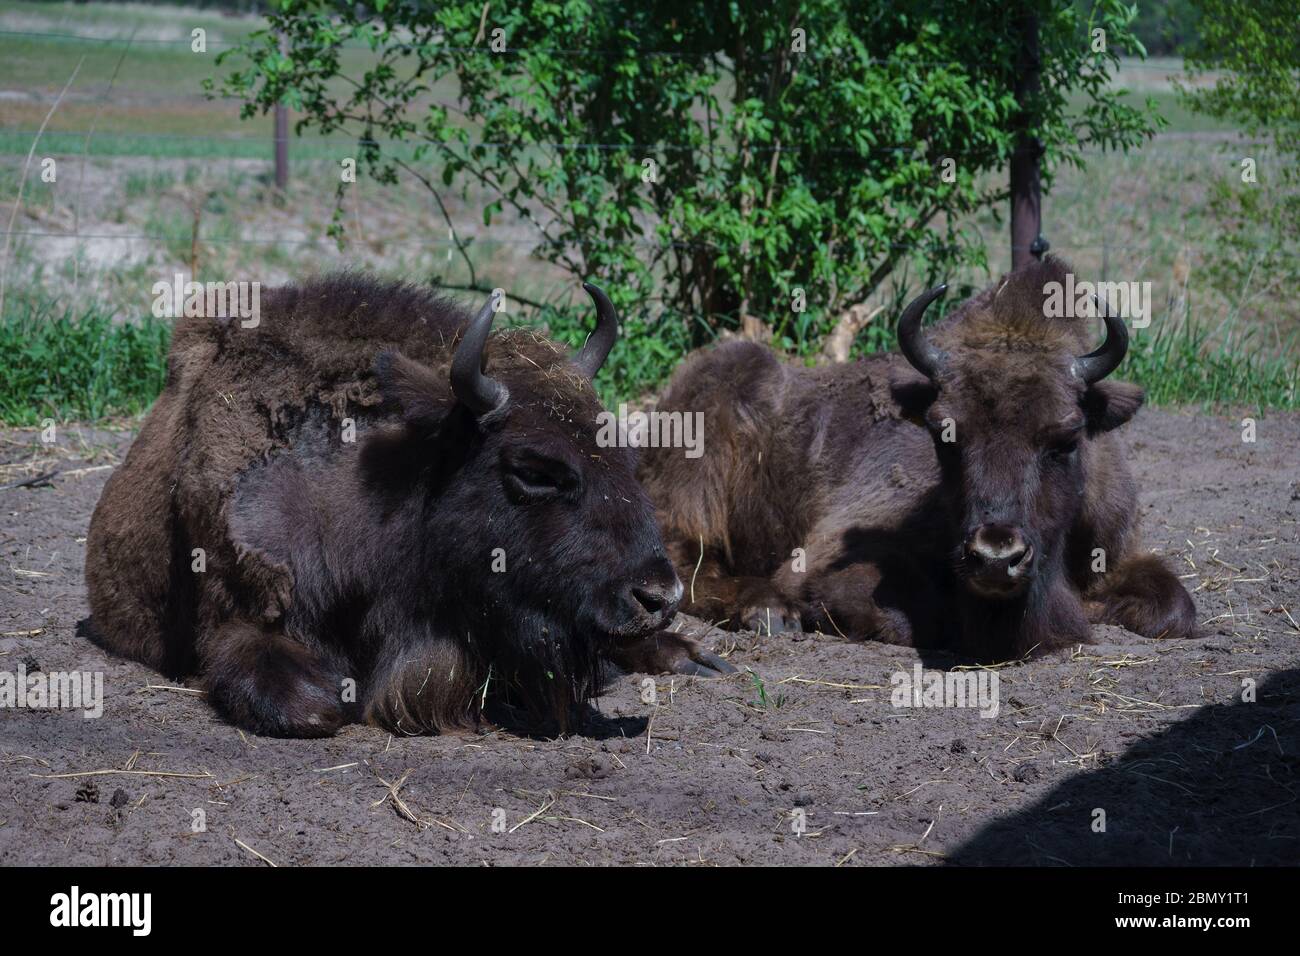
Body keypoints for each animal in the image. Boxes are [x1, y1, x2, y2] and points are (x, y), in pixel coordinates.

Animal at [84, 274, 732, 738]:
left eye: (624, 451)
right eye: (534, 471)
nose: (660, 596)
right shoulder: (242, 621)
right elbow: (317, 705)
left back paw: (697, 658)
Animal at [639, 257, 1198, 661]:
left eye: (1065, 438)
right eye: (944, 435)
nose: (996, 557)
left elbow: (1175, 608)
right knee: (686, 565)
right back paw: (770, 612)